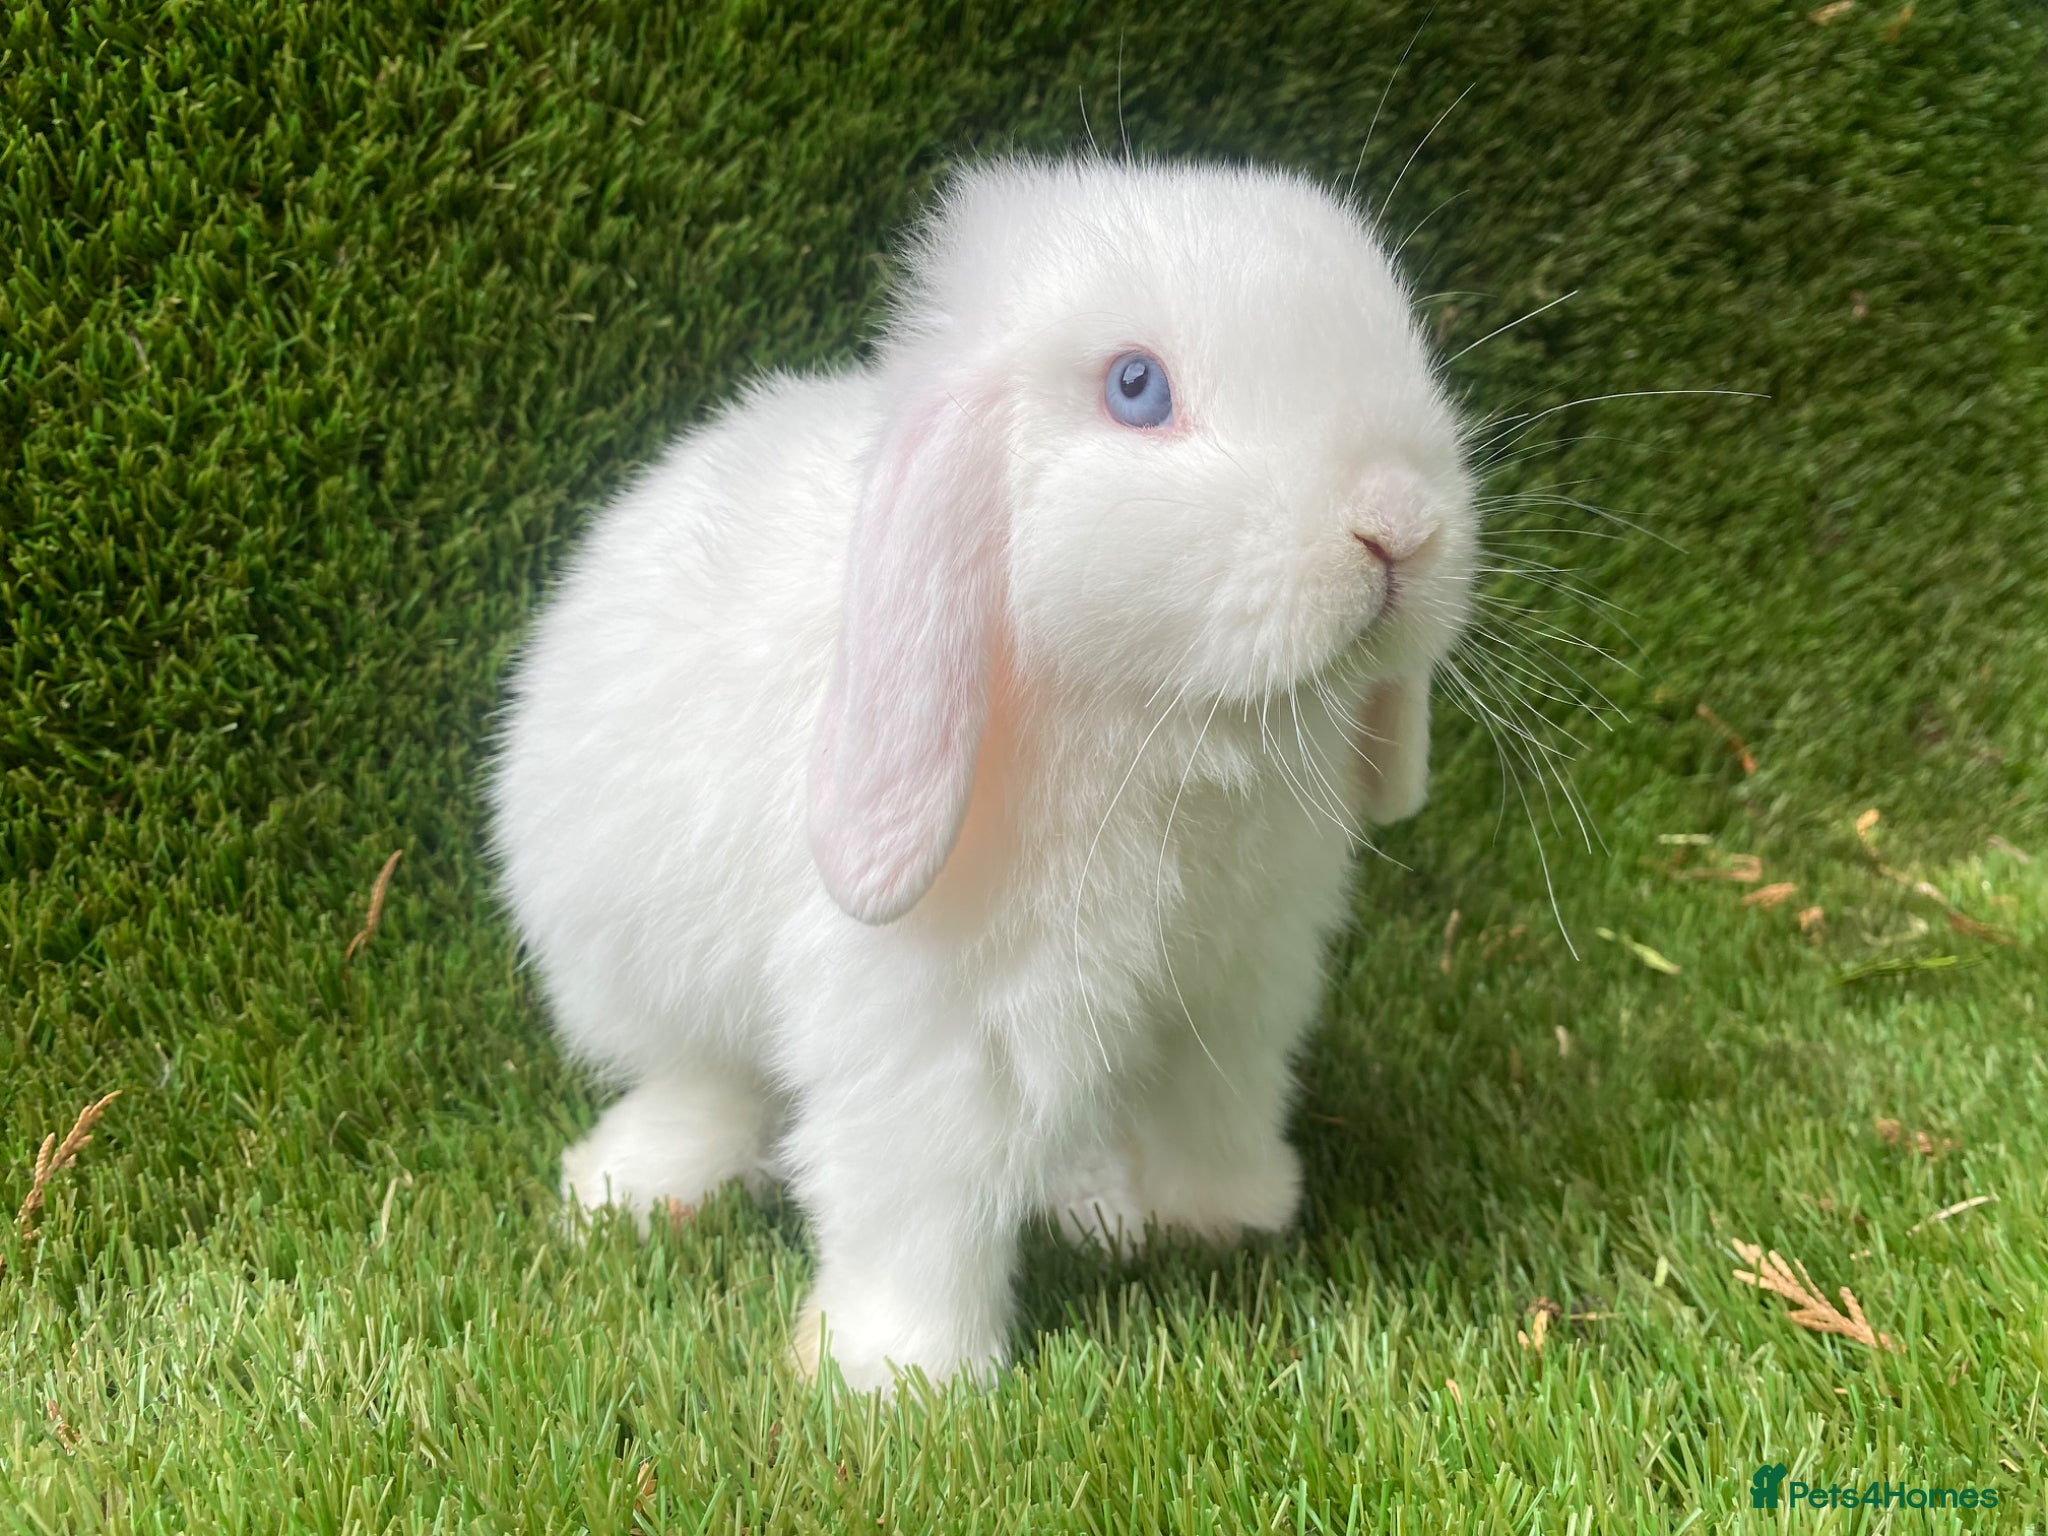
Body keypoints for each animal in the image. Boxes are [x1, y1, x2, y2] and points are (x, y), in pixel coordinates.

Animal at [489, 156, 1476, 1393]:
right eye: (1136, 388)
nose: (1395, 525)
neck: (1164, 729)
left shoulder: (1234, 984)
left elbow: (1215, 1104)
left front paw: (1228, 1217)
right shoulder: (936, 1030)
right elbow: (914, 1193)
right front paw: (895, 1377)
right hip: (638, 972)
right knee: (704, 1083)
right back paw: (633, 1189)